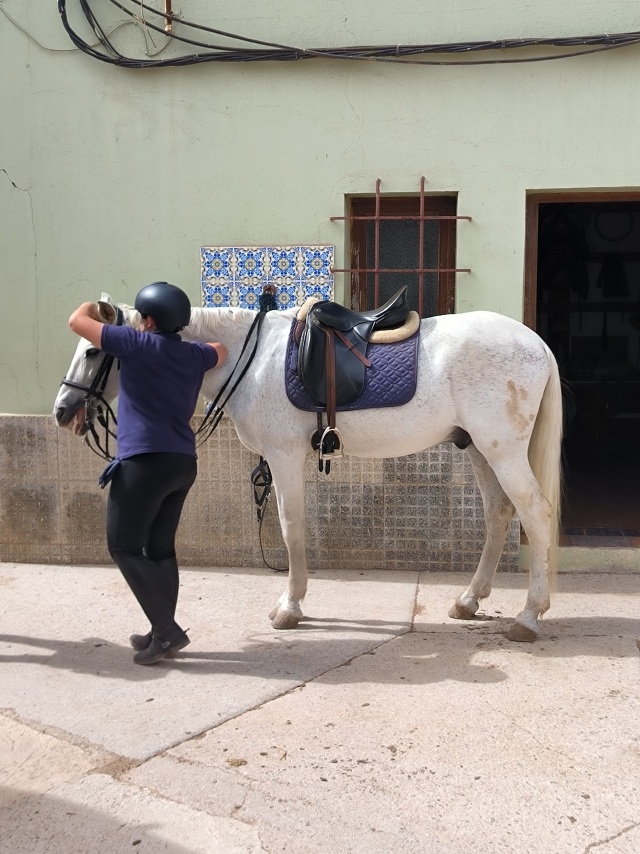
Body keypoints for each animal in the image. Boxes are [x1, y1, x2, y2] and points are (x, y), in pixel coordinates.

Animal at [54, 294, 563, 643]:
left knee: (535, 514)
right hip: (479, 449)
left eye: (94, 350)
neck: (251, 358)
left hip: (502, 450)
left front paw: (290, 606)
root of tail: (537, 342)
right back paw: (469, 600)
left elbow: (290, 526)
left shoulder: (283, 456)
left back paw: (529, 616)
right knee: (499, 514)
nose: (62, 411)